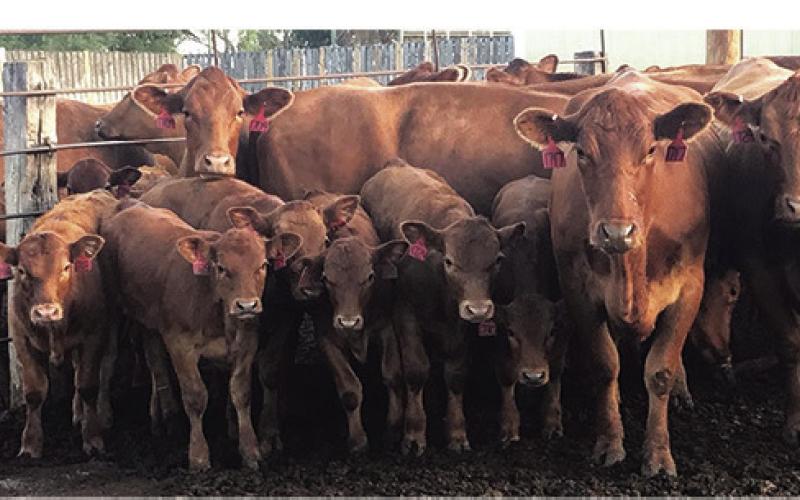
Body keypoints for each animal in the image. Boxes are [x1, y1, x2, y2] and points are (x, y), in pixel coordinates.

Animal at [0, 190, 118, 458]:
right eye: (22, 271)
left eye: (66, 267)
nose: (46, 311)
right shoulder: (21, 338)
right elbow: (34, 392)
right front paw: (30, 444)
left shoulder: (93, 336)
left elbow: (88, 385)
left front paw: (93, 438)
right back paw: (77, 413)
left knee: (106, 367)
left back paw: (103, 414)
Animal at [100, 199, 302, 470]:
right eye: (221, 268)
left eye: (263, 265)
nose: (246, 305)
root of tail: (129, 205)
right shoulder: (180, 345)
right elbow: (195, 397)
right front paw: (198, 456)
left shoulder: (246, 343)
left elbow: (242, 393)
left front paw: (250, 450)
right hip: (117, 310)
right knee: (130, 361)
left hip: (150, 323)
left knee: (155, 361)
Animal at [360, 160, 525, 455]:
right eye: (449, 261)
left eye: (497, 260)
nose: (479, 309)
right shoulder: (405, 314)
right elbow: (416, 370)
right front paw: (414, 434)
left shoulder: (461, 326)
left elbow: (456, 375)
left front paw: (457, 434)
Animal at [513, 69, 723, 476]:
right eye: (581, 152)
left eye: (652, 150)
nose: (616, 232)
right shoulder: (577, 289)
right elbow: (604, 364)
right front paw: (610, 443)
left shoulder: (691, 285)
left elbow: (661, 369)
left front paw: (658, 453)